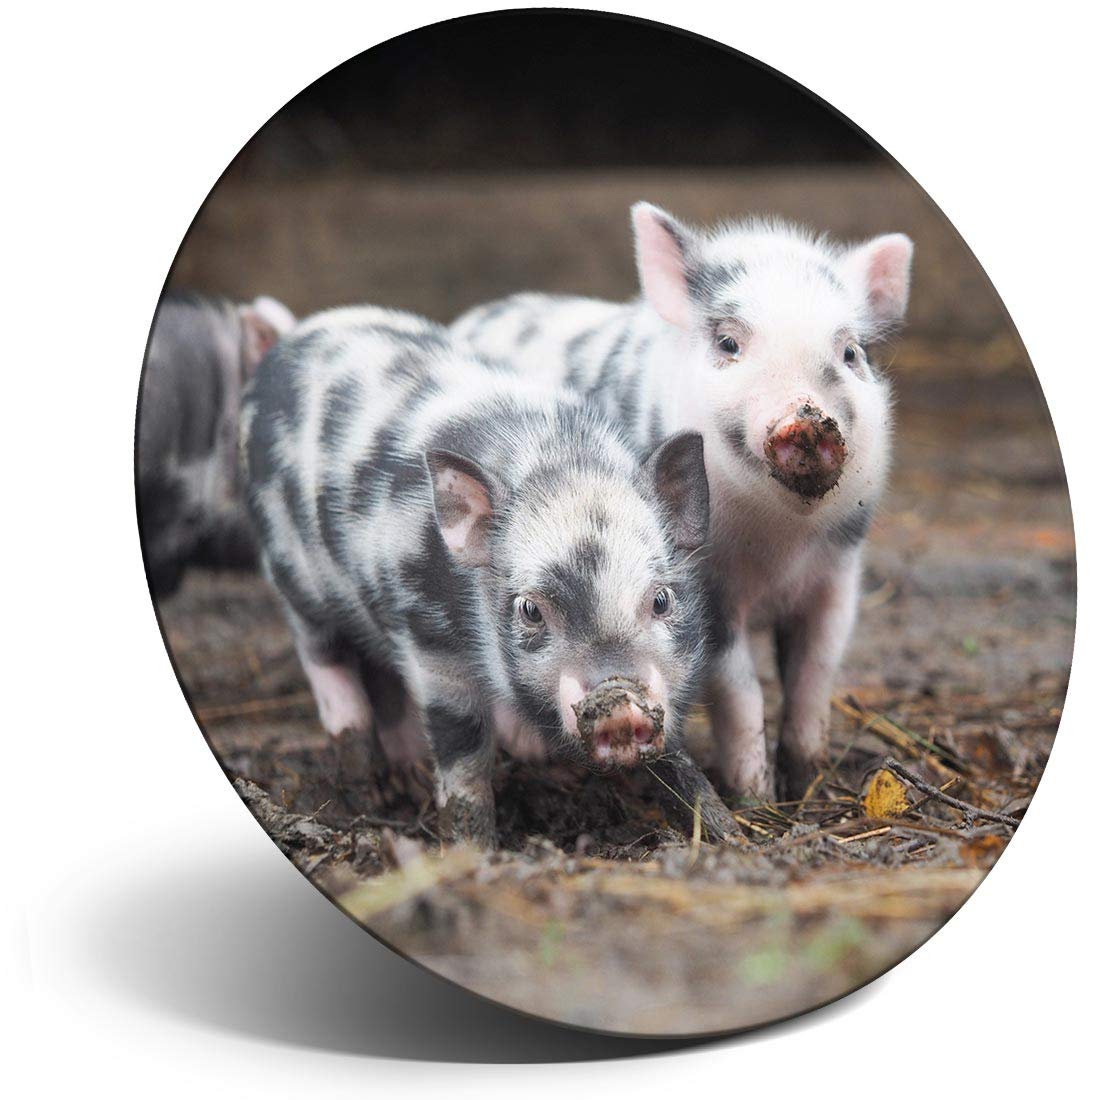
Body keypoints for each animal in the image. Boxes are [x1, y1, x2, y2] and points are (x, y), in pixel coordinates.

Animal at [239, 305, 737, 848]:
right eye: (530, 610)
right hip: (290, 573)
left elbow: (675, 758)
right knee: (325, 660)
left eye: (662, 599)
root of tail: (295, 333)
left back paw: (414, 776)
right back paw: (372, 788)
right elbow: (462, 754)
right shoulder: (427, 636)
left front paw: (729, 831)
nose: (617, 697)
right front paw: (472, 847)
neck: (561, 467)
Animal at [452, 205, 913, 801]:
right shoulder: (707, 588)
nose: (806, 420)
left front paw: (805, 781)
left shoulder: (838, 575)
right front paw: (753, 796)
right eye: (728, 344)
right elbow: (741, 689)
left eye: (852, 353)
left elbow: (815, 673)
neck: (782, 546)